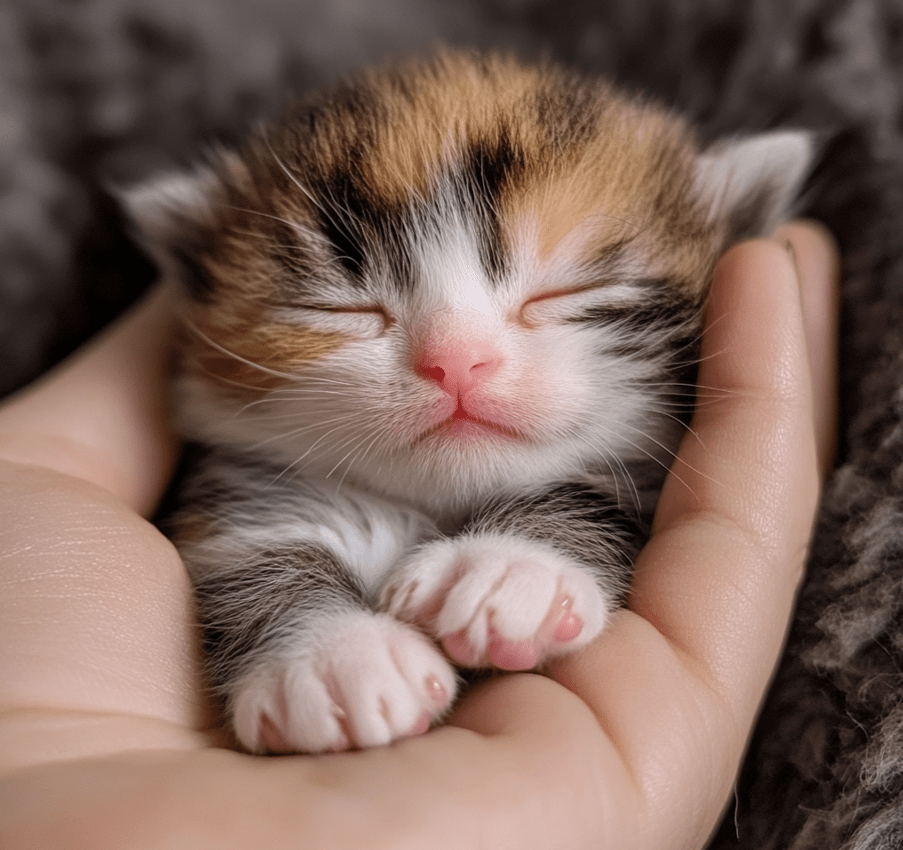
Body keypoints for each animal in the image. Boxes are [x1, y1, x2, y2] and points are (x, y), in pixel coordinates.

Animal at [131, 49, 816, 752]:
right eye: (341, 308)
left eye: (566, 290)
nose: (455, 360)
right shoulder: (247, 481)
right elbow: (247, 544)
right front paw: (334, 659)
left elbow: (600, 491)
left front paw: (510, 569)